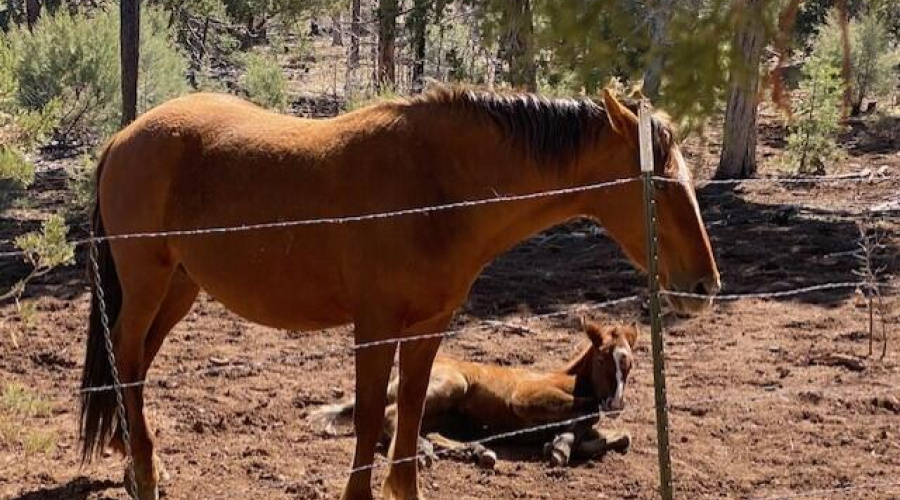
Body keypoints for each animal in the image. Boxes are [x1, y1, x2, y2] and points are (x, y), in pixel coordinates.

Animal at [311, 318, 638, 469]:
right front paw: (560, 446)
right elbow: (589, 408)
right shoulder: (523, 399)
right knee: (393, 415)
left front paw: (559, 443)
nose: (617, 403)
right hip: (450, 387)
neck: (568, 377)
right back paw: (428, 452)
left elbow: (619, 436)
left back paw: (476, 451)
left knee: (421, 428)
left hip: (446, 415)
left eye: (630, 362)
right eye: (602, 359)